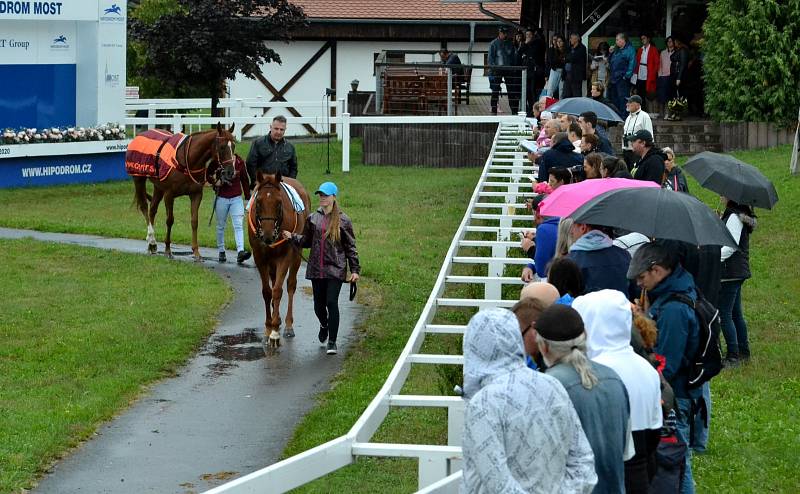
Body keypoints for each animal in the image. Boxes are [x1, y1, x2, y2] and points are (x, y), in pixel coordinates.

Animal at [131, 123, 236, 260]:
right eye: (222, 147)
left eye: (233, 146)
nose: (230, 172)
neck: (187, 161)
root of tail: (140, 135)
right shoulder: (169, 195)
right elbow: (170, 220)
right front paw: (168, 250)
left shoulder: (196, 194)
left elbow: (194, 221)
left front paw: (196, 252)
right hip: (138, 179)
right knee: (144, 207)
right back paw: (151, 239)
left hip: (158, 186)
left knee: (152, 210)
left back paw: (151, 246)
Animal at [248, 173, 310, 348]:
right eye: (258, 202)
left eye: (279, 202)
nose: (268, 235)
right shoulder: (260, 257)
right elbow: (267, 292)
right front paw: (268, 328)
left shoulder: (285, 256)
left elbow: (277, 291)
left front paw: (274, 332)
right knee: (275, 279)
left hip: (296, 254)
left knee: (290, 285)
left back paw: (288, 324)